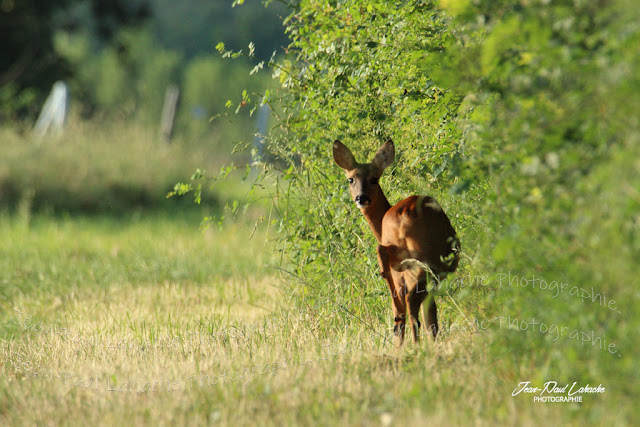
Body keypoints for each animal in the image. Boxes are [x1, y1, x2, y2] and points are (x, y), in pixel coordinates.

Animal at [330, 140, 460, 348]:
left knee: (398, 304)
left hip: (402, 266)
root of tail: (402, 218)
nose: (361, 198)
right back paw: (416, 344)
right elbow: (431, 318)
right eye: (351, 179)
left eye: (374, 179)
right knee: (413, 304)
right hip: (425, 263)